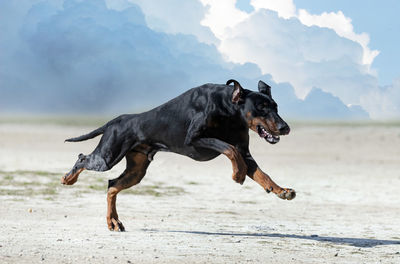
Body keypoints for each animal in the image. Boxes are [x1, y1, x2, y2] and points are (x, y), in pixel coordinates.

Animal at [61, 79, 294, 231]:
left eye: (275, 106)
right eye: (261, 107)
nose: (285, 127)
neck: (229, 108)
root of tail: (114, 121)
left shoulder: (245, 151)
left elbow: (261, 173)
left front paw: (281, 191)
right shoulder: (195, 139)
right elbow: (229, 149)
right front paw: (238, 174)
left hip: (136, 171)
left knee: (112, 185)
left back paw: (113, 222)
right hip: (107, 157)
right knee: (83, 158)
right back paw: (68, 178)